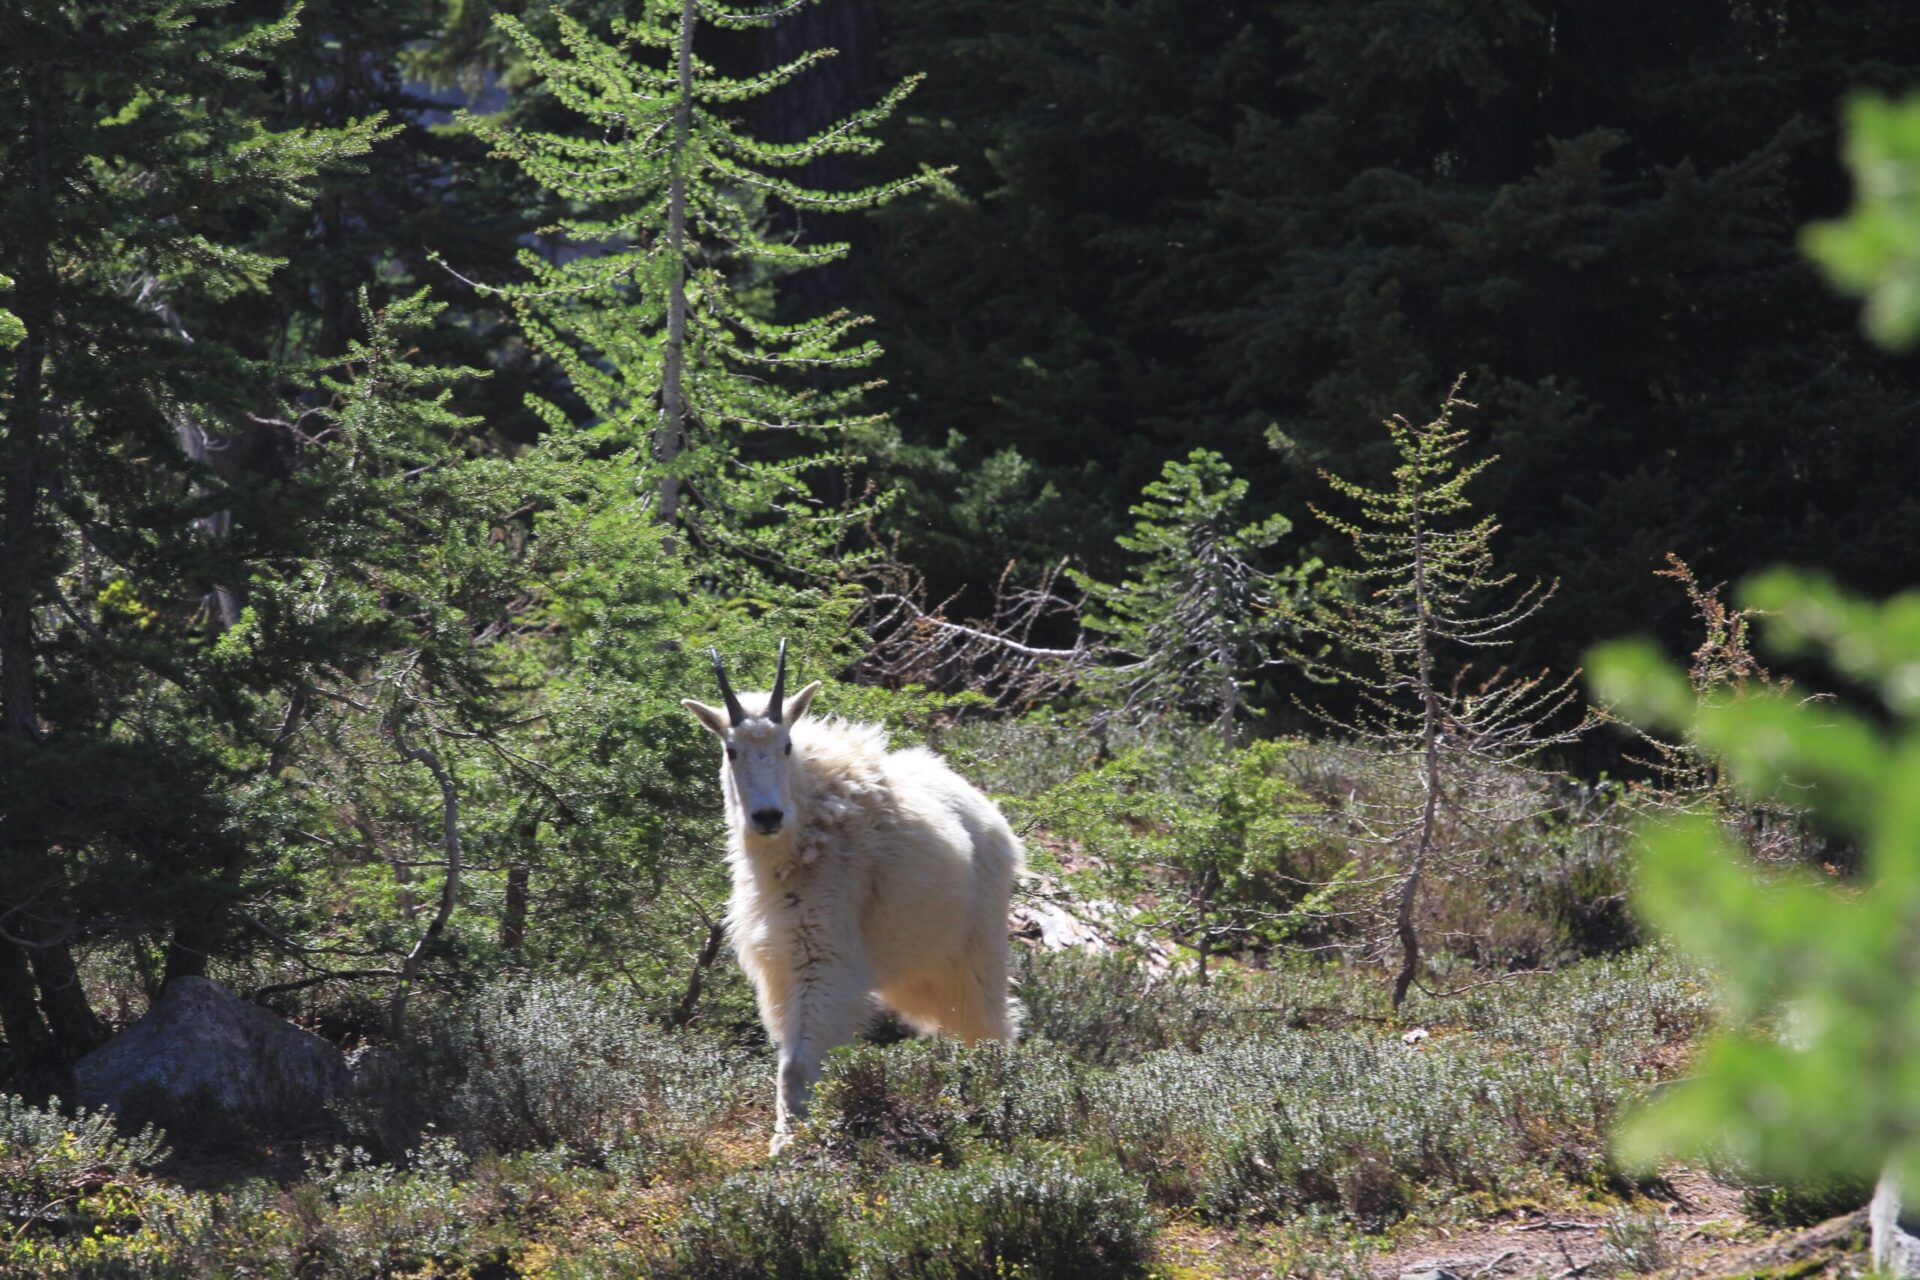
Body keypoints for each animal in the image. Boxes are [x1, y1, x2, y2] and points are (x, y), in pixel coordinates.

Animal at [687, 644, 1029, 1159]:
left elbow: (798, 1061)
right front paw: (784, 1134)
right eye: (731, 750)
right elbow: (789, 1057)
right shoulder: (781, 962)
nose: (767, 816)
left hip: (978, 949)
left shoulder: (821, 954)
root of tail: (991, 816)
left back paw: (994, 1096)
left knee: (991, 1025)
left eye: (786, 745)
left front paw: (791, 1141)